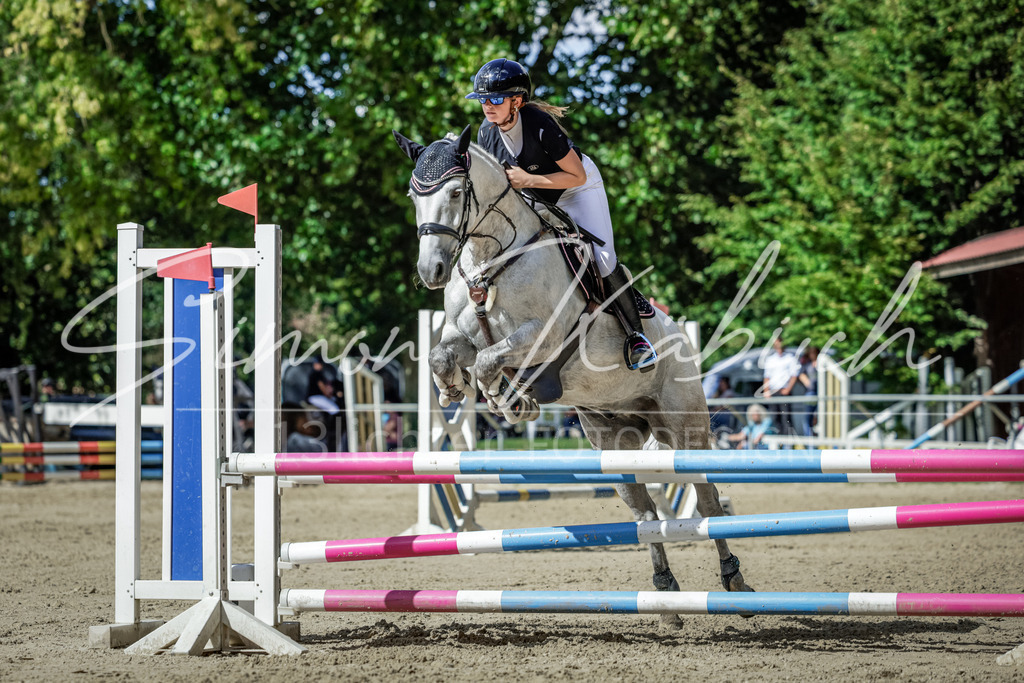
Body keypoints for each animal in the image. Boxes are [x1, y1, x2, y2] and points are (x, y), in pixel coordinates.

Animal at [393, 125, 754, 626]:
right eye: (414, 196)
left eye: (455, 192)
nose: (432, 271)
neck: (491, 258)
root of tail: (679, 336)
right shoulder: (463, 336)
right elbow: (444, 357)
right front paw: (453, 390)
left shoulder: (541, 338)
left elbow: (489, 363)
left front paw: (509, 400)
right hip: (612, 438)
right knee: (645, 515)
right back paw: (665, 594)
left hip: (685, 427)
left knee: (707, 500)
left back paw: (734, 581)